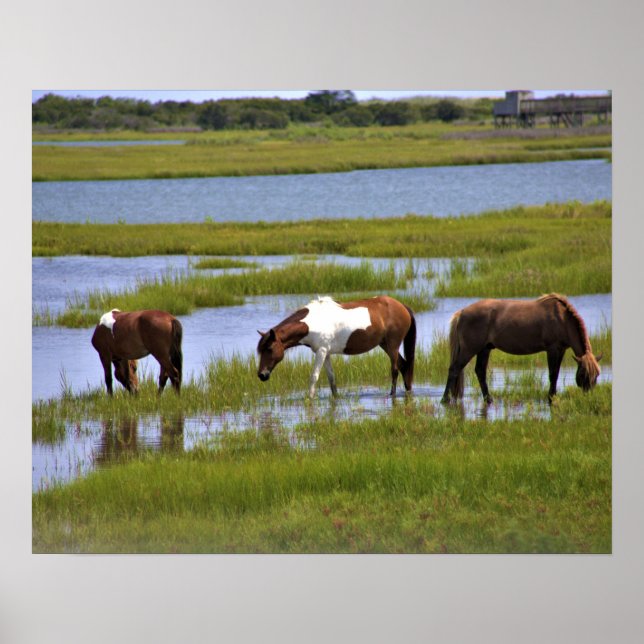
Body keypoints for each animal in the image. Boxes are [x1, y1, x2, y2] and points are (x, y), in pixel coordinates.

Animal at [257, 295, 416, 398]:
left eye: (269, 349)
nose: (262, 375)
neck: (313, 322)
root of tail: (402, 306)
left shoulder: (321, 352)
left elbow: (314, 377)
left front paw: (309, 399)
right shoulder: (325, 353)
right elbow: (331, 379)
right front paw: (335, 397)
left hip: (393, 345)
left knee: (395, 370)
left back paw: (392, 395)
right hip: (385, 345)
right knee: (404, 366)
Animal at [441, 293, 602, 404]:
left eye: (597, 375)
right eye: (583, 374)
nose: (589, 397)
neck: (561, 318)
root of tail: (462, 312)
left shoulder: (561, 350)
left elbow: (555, 373)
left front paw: (553, 397)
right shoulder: (552, 349)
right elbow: (552, 375)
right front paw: (550, 399)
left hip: (484, 349)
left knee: (480, 371)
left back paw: (489, 400)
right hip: (469, 349)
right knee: (454, 369)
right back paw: (444, 400)